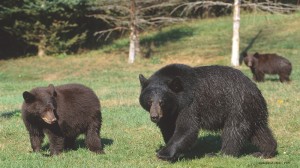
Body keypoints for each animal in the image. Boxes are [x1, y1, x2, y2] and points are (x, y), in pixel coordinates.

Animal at [139, 63, 278, 161]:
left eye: (162, 102)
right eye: (149, 101)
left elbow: (187, 128)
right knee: (259, 131)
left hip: (238, 106)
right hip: (253, 112)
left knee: (233, 131)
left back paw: (222, 154)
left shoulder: (190, 105)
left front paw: (163, 153)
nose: (155, 116)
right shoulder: (170, 114)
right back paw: (266, 151)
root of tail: (256, 91)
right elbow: (168, 129)